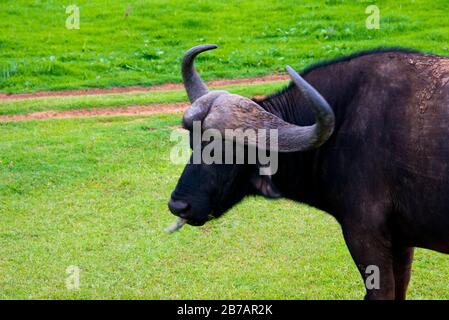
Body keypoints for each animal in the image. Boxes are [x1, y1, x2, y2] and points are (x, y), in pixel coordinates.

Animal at [166, 45, 446, 300]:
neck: (342, 124)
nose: (178, 205)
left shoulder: (366, 236)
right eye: (193, 143)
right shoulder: (401, 242)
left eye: (230, 152)